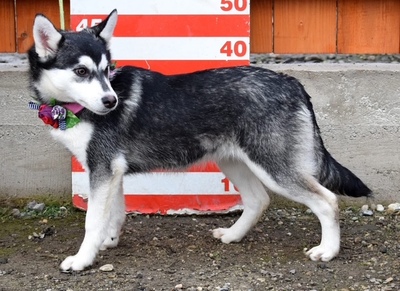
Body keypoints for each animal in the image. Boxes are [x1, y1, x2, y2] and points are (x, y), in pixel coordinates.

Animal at [28, 9, 370, 274]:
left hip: (274, 168)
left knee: (327, 200)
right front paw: (108, 241)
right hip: (234, 161)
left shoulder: (102, 169)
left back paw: (328, 250)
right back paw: (233, 235)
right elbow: (113, 213)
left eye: (106, 69)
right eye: (81, 71)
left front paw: (82, 259)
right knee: (258, 200)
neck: (73, 109)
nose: (111, 101)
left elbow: (93, 221)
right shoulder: (111, 172)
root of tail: (292, 82)